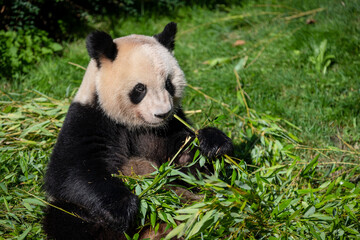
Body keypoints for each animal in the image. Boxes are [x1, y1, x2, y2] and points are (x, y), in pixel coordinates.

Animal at [43, 22, 233, 238]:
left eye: (168, 84)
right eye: (140, 89)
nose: (162, 113)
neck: (137, 125)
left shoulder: (170, 126)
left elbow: (192, 168)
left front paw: (212, 144)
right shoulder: (89, 119)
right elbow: (71, 173)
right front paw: (124, 207)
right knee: (68, 218)